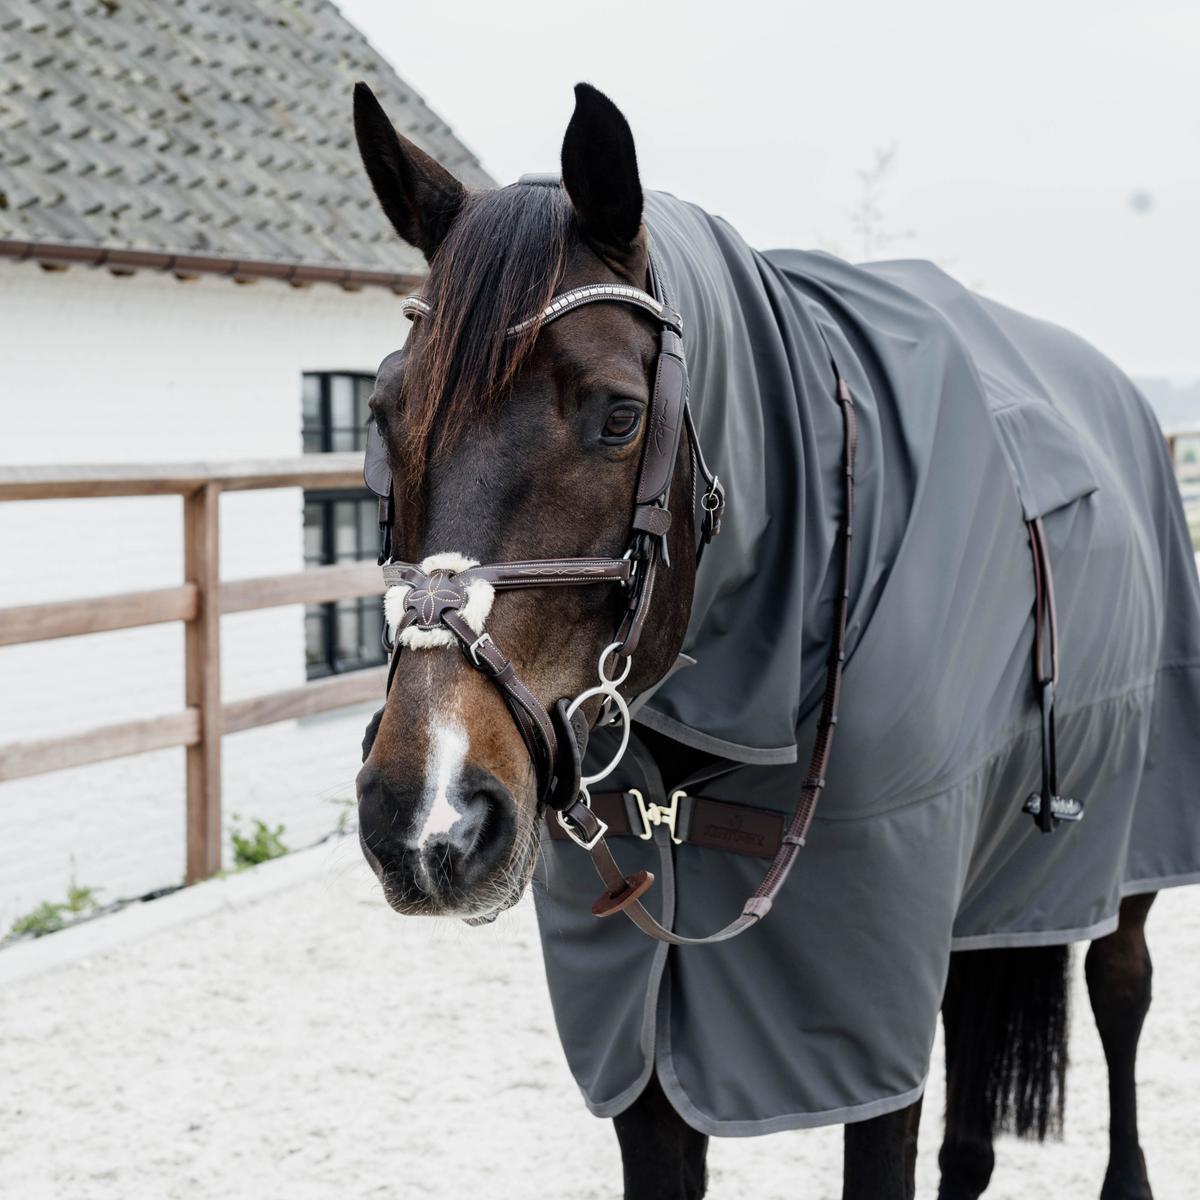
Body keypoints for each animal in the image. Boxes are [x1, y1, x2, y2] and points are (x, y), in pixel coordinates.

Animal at [351, 79, 1200, 1200]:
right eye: (381, 411)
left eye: (620, 416)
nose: (428, 814)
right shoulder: (643, 1039)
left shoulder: (867, 1008)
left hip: (1129, 846)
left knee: (1121, 987)